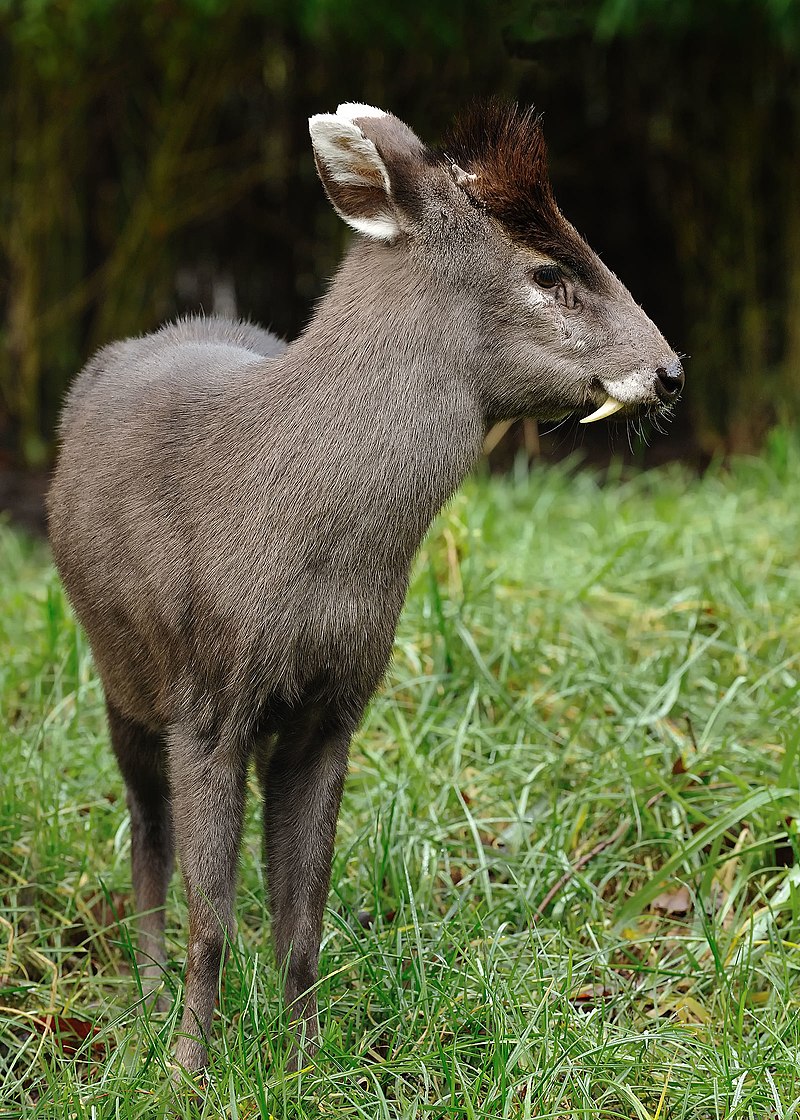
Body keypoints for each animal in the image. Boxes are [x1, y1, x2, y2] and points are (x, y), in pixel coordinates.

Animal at [47, 100, 684, 1073]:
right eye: (549, 272)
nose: (670, 371)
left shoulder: (336, 706)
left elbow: (301, 920)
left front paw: (311, 1065)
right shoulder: (206, 696)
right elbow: (211, 918)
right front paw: (189, 1070)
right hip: (120, 669)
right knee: (146, 825)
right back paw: (148, 998)